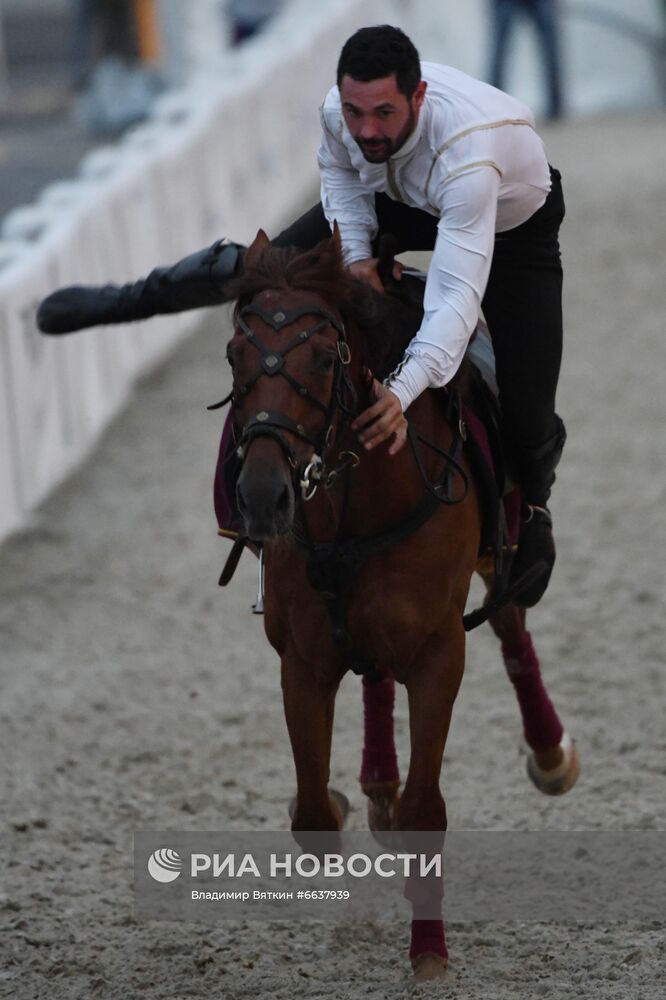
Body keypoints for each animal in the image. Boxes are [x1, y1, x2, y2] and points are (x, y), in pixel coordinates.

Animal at [223, 230, 576, 980]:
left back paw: (550, 751)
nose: (263, 495)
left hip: (497, 553)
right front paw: (341, 801)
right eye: (234, 355)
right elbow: (313, 818)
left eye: (325, 357)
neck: (357, 516)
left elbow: (425, 809)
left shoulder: (439, 652)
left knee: (509, 620)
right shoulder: (301, 661)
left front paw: (430, 952)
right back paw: (376, 781)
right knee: (373, 672)